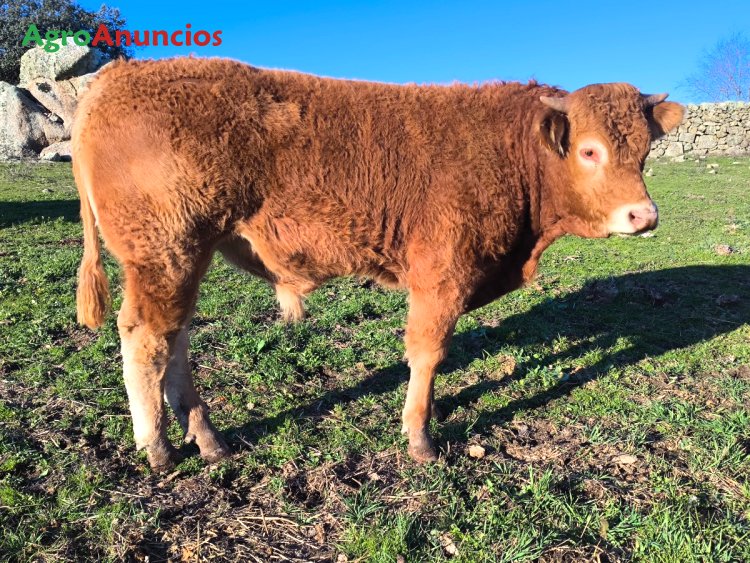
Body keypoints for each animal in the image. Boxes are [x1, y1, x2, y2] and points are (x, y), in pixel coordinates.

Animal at [73, 58, 684, 471]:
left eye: (644, 151)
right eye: (589, 150)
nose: (644, 215)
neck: (511, 152)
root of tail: (115, 78)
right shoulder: (441, 277)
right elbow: (428, 354)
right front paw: (420, 438)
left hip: (182, 259)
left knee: (174, 339)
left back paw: (207, 439)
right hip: (165, 252)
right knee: (146, 338)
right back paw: (157, 446)